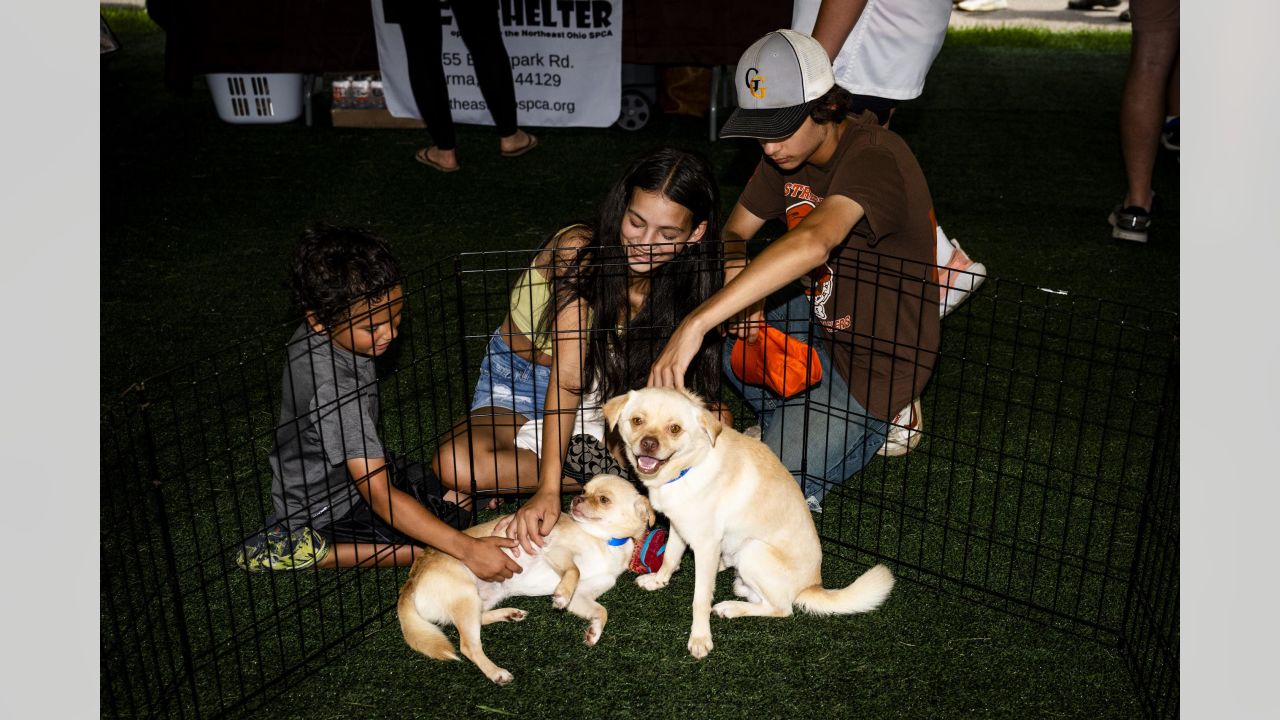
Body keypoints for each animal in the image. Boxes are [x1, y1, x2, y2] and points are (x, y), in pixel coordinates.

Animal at [396, 474, 660, 681]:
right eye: (584, 490)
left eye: (604, 499)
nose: (576, 498)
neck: (606, 540)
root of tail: (410, 582)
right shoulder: (556, 551)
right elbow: (574, 571)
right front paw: (561, 596)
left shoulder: (583, 596)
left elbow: (602, 610)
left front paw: (594, 631)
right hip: (466, 596)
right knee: (468, 645)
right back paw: (496, 672)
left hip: (484, 596)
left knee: (479, 620)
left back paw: (510, 614)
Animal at [604, 386, 896, 655]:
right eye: (637, 420)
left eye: (674, 428)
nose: (649, 443)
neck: (690, 467)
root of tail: (812, 586)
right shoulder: (678, 526)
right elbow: (670, 557)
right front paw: (658, 580)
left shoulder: (706, 544)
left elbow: (700, 599)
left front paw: (700, 637)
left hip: (753, 550)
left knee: (781, 608)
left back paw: (730, 607)